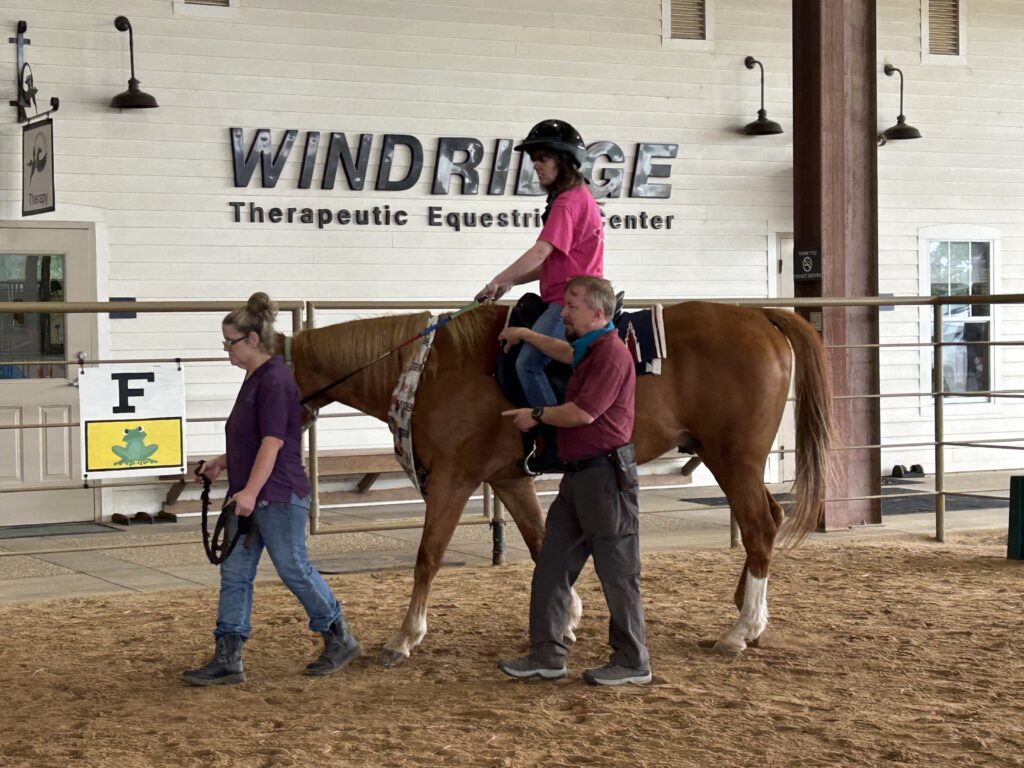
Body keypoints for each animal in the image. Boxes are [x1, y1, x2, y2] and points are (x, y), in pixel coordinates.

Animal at [290, 301, 833, 667]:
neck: (427, 370)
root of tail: (760, 315)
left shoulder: (452, 480)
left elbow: (428, 556)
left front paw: (404, 637)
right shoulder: (508, 479)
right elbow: (537, 542)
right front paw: (569, 616)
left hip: (733, 457)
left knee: (759, 526)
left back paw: (740, 629)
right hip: (729, 458)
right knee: (767, 520)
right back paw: (750, 616)